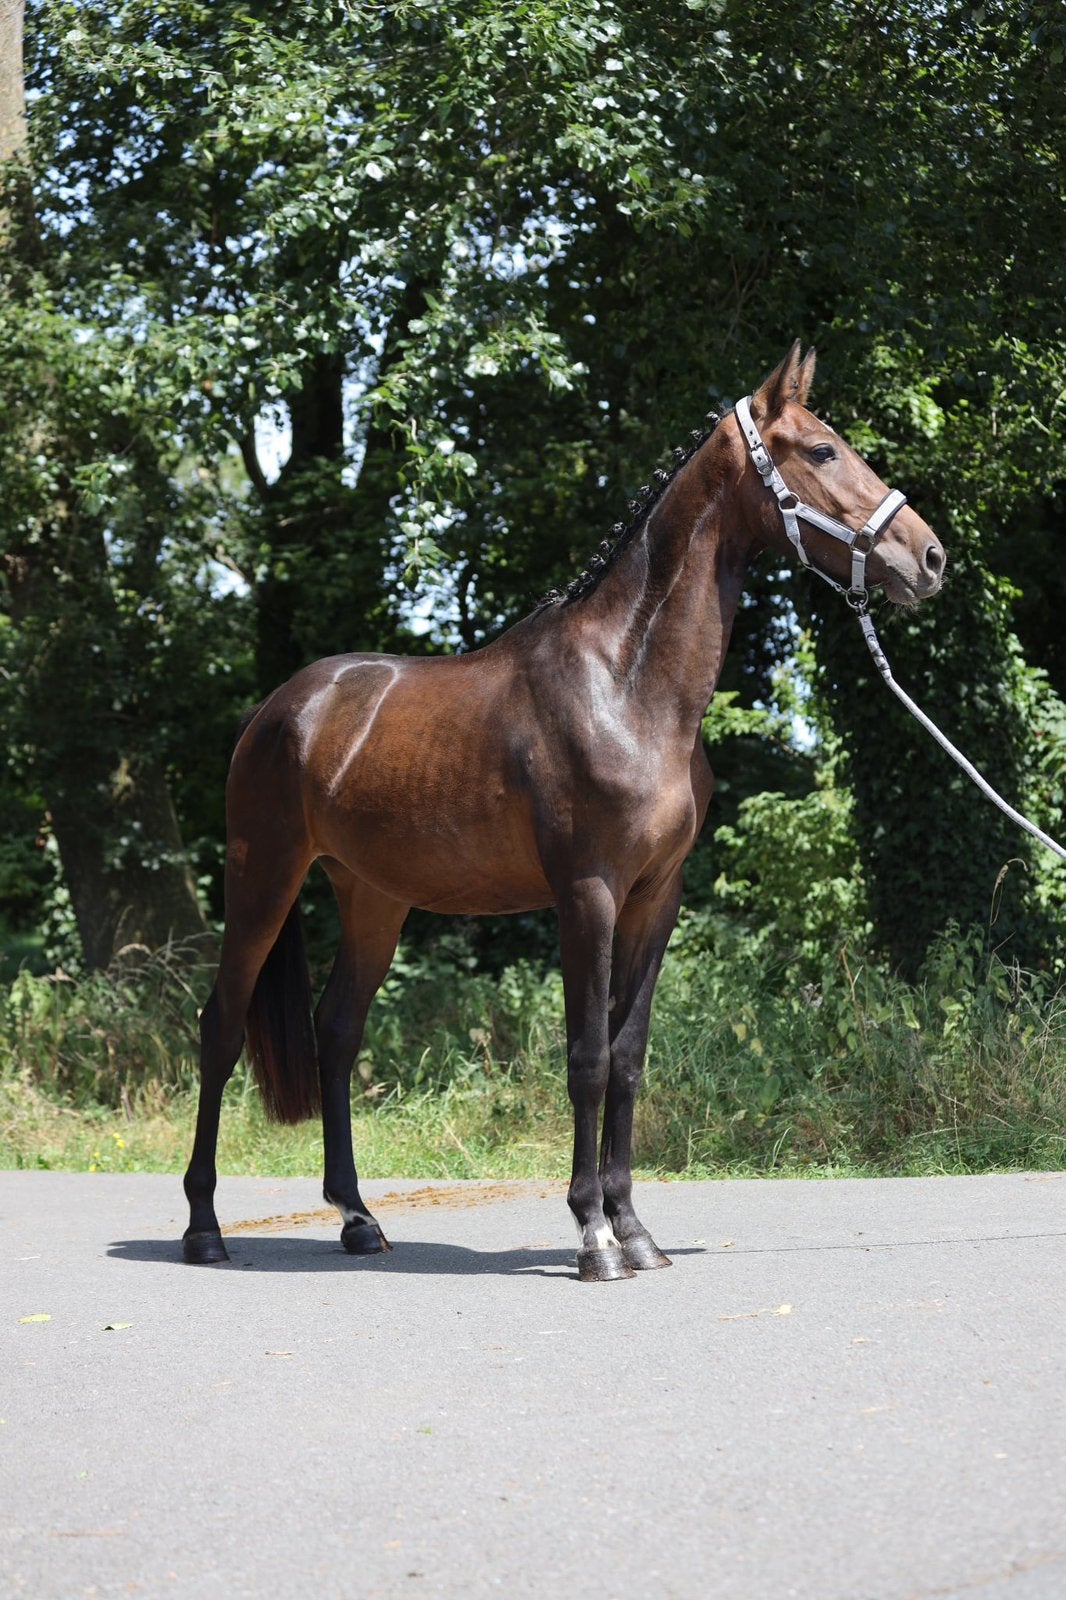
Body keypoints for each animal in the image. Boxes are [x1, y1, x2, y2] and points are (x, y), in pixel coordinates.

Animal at [182, 342, 945, 1281]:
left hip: (373, 898)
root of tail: (281, 708)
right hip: (264, 877)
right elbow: (583, 1057)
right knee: (220, 1028)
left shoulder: (657, 898)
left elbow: (626, 1057)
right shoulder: (587, 893)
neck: (626, 685)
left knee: (337, 1033)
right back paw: (204, 1229)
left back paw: (359, 1220)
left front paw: (637, 1230)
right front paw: (593, 1236)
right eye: (822, 449)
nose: (929, 557)